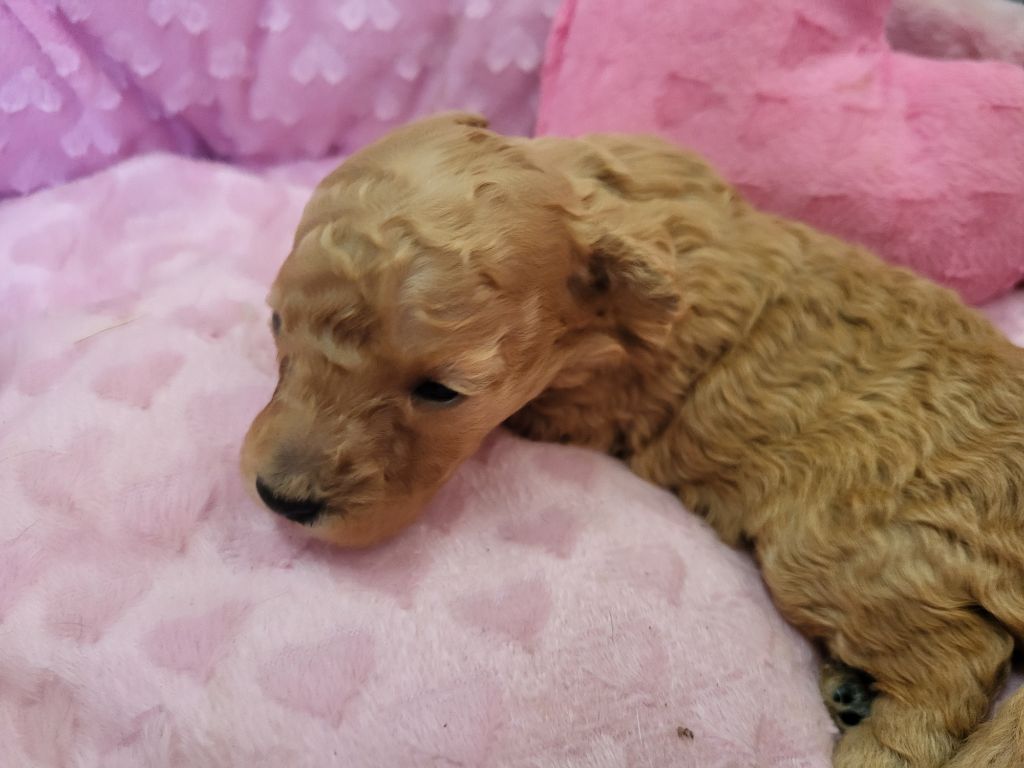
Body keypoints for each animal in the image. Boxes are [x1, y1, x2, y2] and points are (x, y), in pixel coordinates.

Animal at [241, 112, 1024, 767]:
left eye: (442, 391)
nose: (281, 500)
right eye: (277, 323)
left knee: (960, 661)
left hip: (845, 547)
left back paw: (875, 744)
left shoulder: (593, 403)